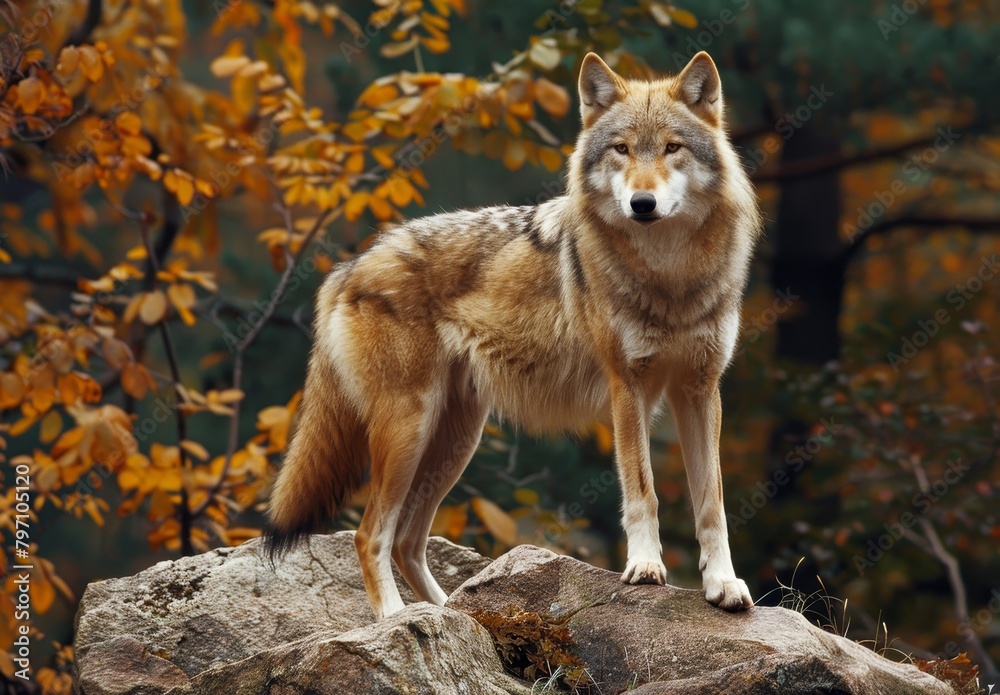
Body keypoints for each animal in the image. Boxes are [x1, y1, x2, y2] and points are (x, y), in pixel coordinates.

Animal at [263, 51, 762, 619]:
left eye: (672, 148)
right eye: (622, 149)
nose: (642, 203)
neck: (670, 275)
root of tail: (349, 267)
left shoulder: (700, 390)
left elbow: (712, 503)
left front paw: (723, 584)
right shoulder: (627, 387)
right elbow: (643, 489)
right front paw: (644, 568)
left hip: (455, 441)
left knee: (408, 542)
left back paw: (450, 614)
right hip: (409, 428)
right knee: (370, 535)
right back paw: (396, 620)